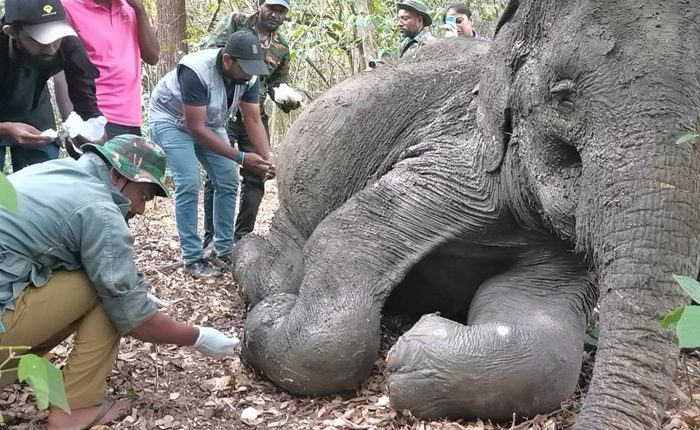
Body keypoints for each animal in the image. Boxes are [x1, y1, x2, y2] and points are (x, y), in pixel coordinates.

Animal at [232, 0, 700, 428]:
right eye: (564, 98)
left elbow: (542, 335)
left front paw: (418, 346)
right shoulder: (460, 156)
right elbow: (344, 237)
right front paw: (271, 314)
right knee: (289, 250)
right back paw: (254, 261)